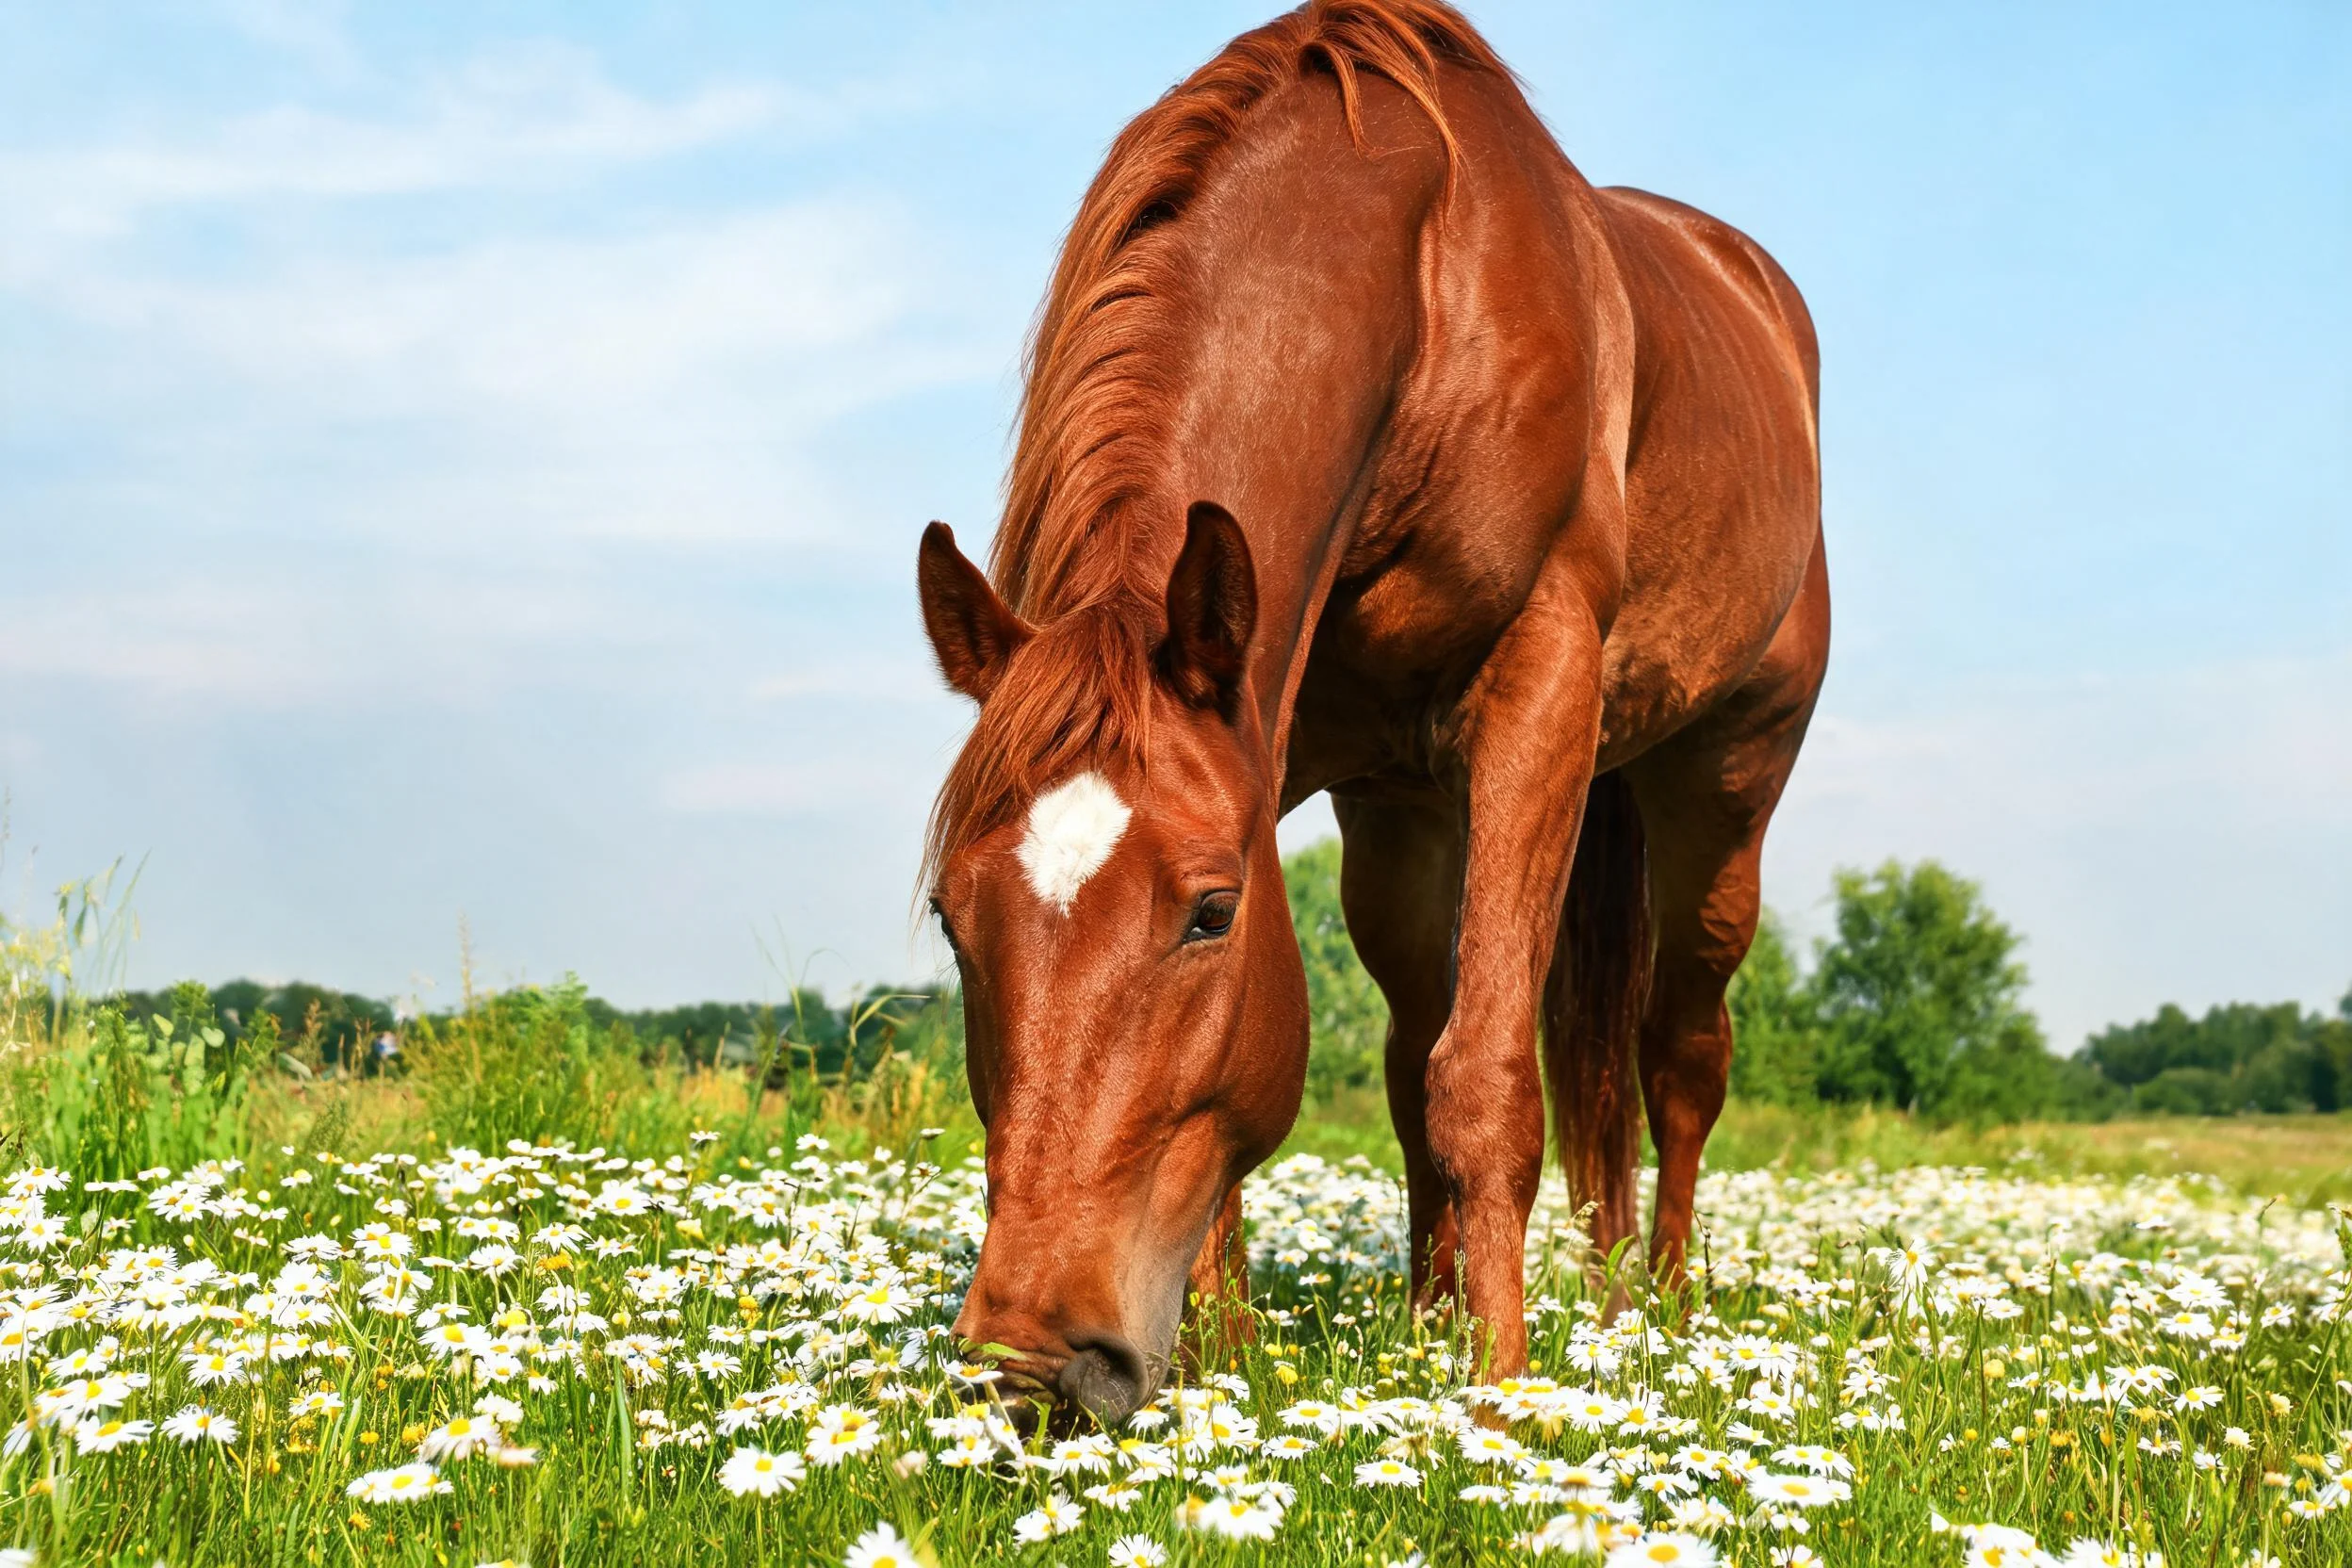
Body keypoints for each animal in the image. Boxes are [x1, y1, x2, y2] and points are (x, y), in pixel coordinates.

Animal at [916, 0, 1829, 1426]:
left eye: (1210, 912)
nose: (1035, 1367)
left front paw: (1500, 1395)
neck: (1433, 301)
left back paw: (1655, 1325)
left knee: (1677, 1057)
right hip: (1403, 815)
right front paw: (1229, 1369)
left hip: (1724, 783)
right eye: (956, 920)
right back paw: (1432, 1314)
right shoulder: (1287, 737)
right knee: (1417, 1054)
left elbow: (1489, 1081)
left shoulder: (1540, 696)